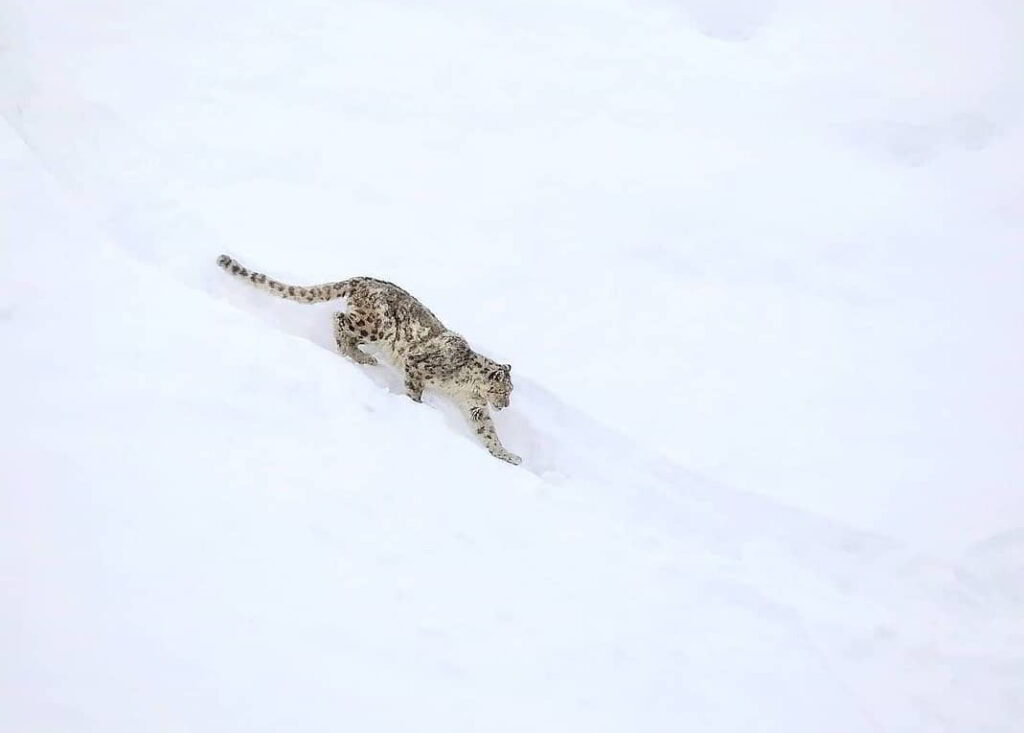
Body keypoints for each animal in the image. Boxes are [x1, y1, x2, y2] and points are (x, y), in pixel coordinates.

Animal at [216, 254, 521, 465]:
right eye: (503, 390)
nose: (505, 405)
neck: (466, 388)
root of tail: (361, 279)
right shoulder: (417, 365)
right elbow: (414, 390)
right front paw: (418, 408)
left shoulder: (475, 407)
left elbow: (487, 432)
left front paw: (508, 455)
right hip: (376, 326)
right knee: (339, 320)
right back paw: (358, 356)